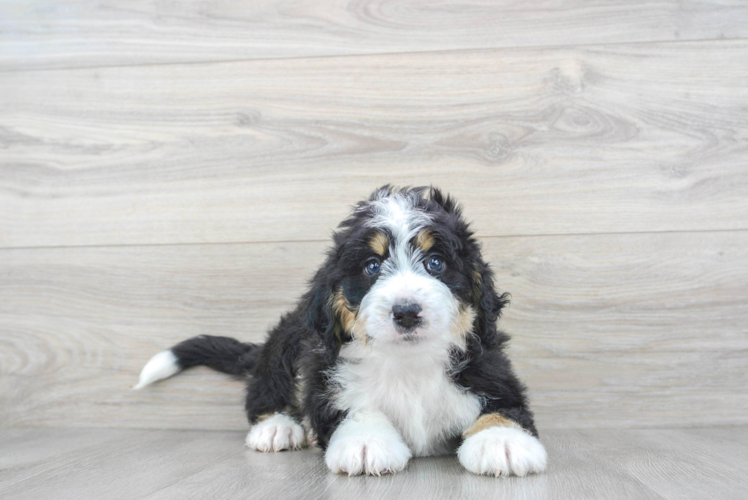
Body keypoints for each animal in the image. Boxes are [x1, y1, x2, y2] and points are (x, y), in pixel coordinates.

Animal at [134, 185, 548, 476]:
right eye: (371, 266)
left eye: (435, 263)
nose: (406, 312)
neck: (408, 362)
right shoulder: (326, 381)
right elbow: (352, 410)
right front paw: (365, 444)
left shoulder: (491, 372)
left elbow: (504, 409)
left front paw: (503, 443)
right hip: (287, 340)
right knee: (265, 390)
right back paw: (277, 428)